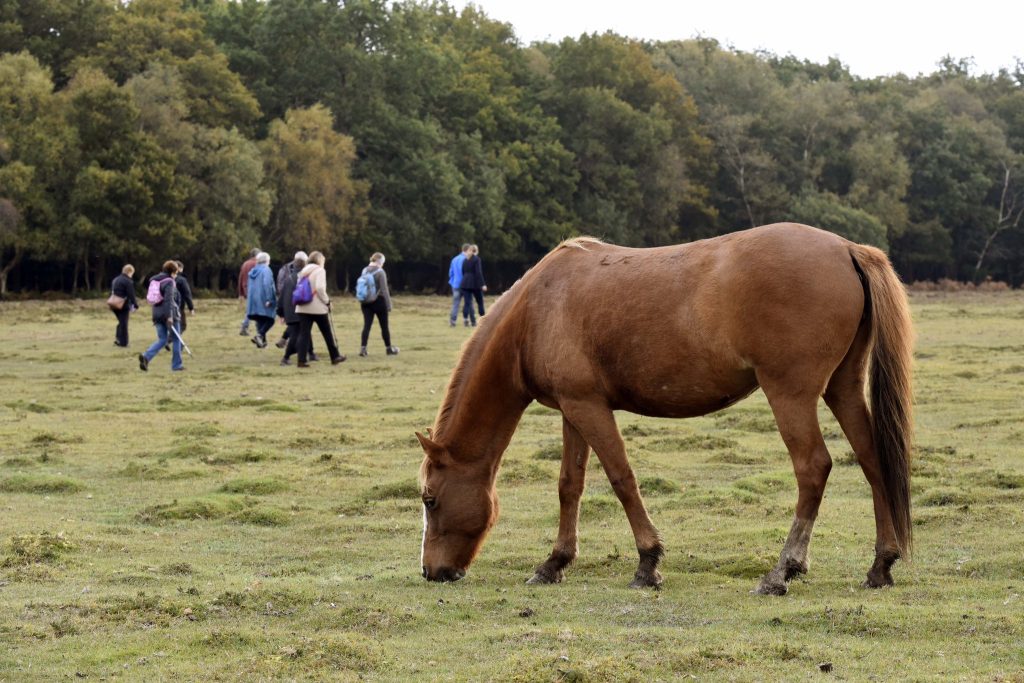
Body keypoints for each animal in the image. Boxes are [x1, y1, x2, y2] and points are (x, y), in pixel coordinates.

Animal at [415, 223, 913, 593]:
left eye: (430, 499)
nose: (431, 572)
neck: (538, 308)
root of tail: (847, 249)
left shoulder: (589, 407)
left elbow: (621, 479)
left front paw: (647, 562)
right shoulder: (573, 408)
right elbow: (569, 486)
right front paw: (554, 562)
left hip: (789, 394)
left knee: (813, 468)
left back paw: (783, 569)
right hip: (842, 389)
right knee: (872, 461)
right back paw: (881, 565)